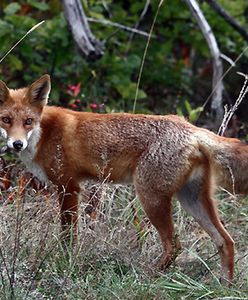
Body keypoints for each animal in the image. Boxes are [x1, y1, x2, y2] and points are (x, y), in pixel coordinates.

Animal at [0, 75, 244, 284]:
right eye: (6, 120)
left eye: (28, 121)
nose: (17, 144)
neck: (44, 133)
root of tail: (191, 128)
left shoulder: (68, 187)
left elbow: (68, 237)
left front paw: (65, 262)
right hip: (192, 200)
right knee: (226, 241)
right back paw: (225, 287)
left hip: (150, 198)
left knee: (174, 245)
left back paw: (147, 275)